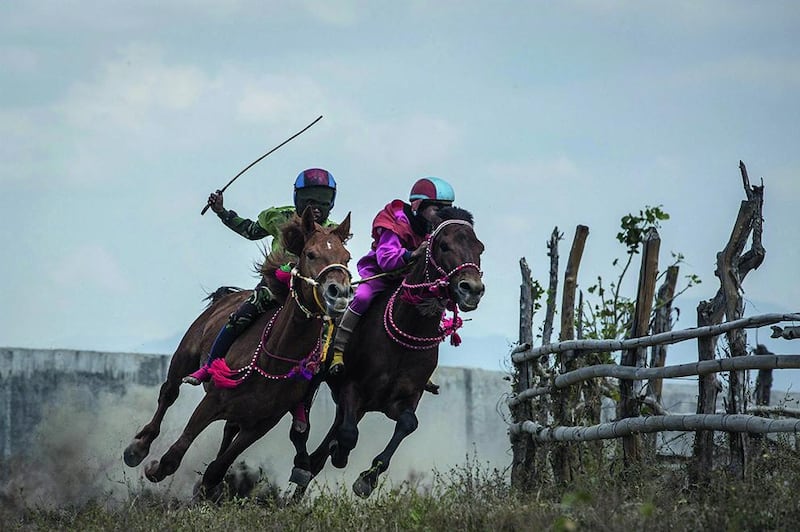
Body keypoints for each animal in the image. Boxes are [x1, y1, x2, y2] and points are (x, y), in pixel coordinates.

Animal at [122, 209, 354, 498]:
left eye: (346, 258)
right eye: (310, 254)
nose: (339, 293)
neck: (273, 358)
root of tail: (225, 296)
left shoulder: (261, 424)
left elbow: (217, 468)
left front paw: (206, 490)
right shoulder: (213, 400)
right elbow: (176, 453)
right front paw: (154, 468)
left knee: (227, 430)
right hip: (185, 355)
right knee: (169, 393)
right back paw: (138, 447)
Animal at [290, 207, 484, 498]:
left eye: (479, 248)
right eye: (444, 245)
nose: (472, 289)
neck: (406, 331)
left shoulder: (403, 399)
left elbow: (408, 424)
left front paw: (367, 478)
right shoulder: (352, 387)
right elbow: (348, 434)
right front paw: (341, 454)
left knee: (317, 457)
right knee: (306, 431)